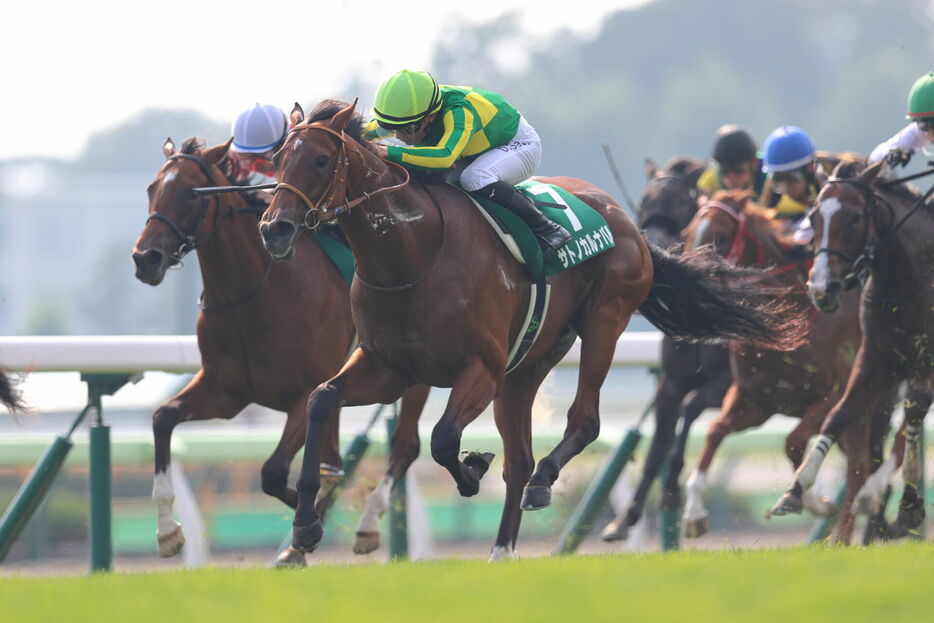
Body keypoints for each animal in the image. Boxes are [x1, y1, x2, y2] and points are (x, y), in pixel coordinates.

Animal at [133, 138, 432, 560]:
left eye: (191, 194)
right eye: (151, 189)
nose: (145, 258)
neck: (253, 295)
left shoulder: (303, 393)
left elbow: (273, 473)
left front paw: (309, 528)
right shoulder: (225, 393)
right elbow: (162, 417)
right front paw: (167, 531)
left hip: (414, 371)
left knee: (405, 445)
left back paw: (367, 524)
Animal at [604, 158, 736, 544]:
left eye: (679, 202)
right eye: (644, 200)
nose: (654, 245)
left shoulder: (728, 385)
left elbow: (689, 413)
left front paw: (672, 492)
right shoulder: (670, 384)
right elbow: (657, 446)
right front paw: (624, 519)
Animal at [672, 189, 892, 540]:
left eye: (720, 237)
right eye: (688, 232)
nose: (686, 282)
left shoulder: (832, 396)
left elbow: (794, 443)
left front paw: (809, 500)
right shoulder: (756, 402)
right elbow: (714, 431)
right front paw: (693, 514)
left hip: (874, 402)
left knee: (861, 464)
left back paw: (846, 532)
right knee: (858, 461)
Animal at [772, 162, 932, 536]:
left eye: (856, 218)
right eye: (814, 217)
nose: (821, 289)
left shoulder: (924, 363)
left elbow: (912, 416)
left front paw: (902, 502)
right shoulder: (875, 361)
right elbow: (839, 414)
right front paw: (795, 490)